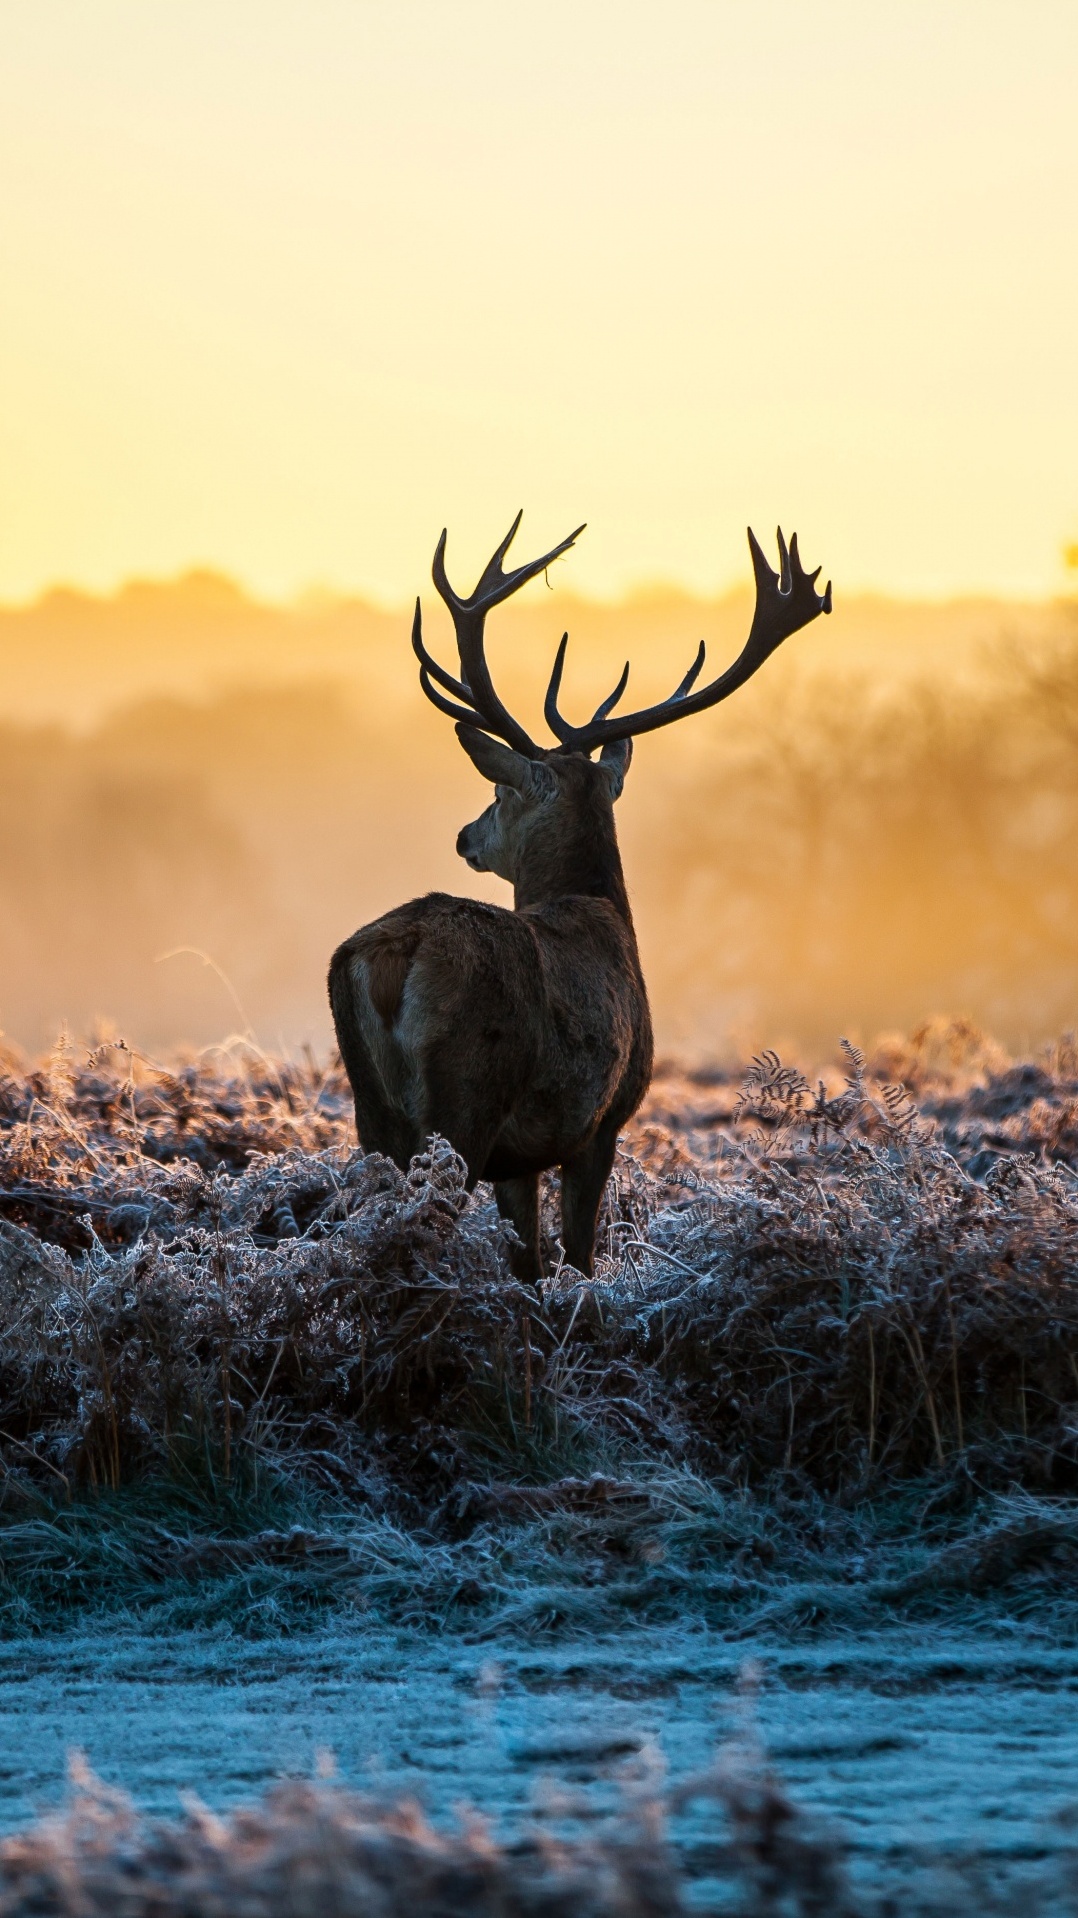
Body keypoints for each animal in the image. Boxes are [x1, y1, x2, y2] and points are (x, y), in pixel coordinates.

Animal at [329, 517, 832, 1281]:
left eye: (500, 791)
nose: (465, 835)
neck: (602, 912)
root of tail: (393, 954)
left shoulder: (523, 1156)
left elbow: (530, 1263)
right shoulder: (602, 1120)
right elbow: (578, 1258)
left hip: (372, 1110)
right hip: (466, 1097)